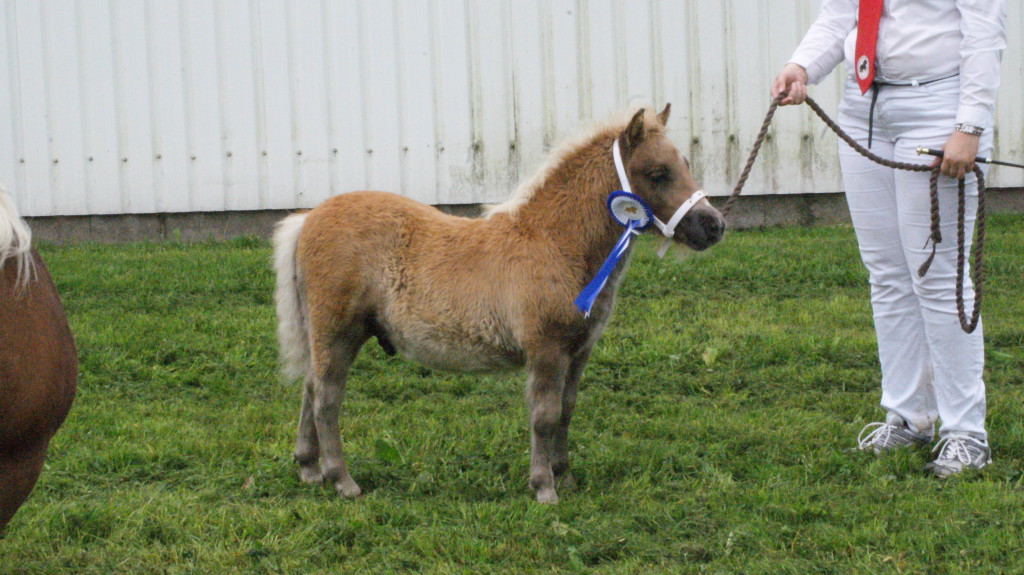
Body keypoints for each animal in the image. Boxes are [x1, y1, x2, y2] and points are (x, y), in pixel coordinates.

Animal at [272, 103, 720, 501]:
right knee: (327, 398)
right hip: (338, 331)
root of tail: (307, 219)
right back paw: (342, 480)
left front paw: (565, 476)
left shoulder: (578, 351)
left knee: (311, 388)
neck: (554, 243)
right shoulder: (546, 350)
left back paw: (309, 467)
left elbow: (567, 409)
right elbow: (544, 416)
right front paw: (544, 487)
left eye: (685, 163)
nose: (713, 225)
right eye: (657, 173)